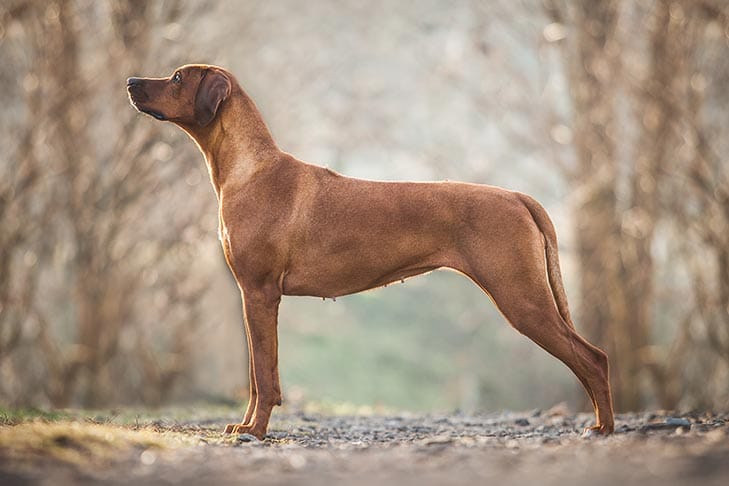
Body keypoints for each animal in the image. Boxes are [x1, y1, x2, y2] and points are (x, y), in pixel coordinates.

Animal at [126, 62, 616, 438]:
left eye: (176, 77)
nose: (131, 82)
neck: (250, 168)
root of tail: (518, 196)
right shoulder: (253, 297)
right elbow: (255, 376)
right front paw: (245, 426)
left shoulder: (260, 293)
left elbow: (264, 377)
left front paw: (257, 432)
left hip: (521, 298)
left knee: (593, 358)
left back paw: (605, 428)